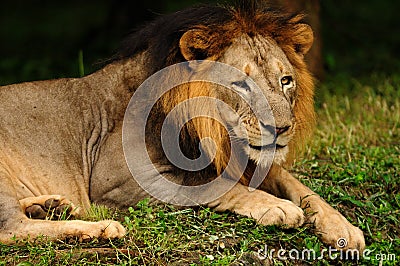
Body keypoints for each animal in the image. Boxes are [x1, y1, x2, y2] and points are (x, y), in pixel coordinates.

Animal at [0, 0, 366, 250]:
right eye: (241, 84)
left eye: (285, 80)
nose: (282, 129)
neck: (213, 133)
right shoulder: (115, 183)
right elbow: (214, 185)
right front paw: (277, 207)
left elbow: (299, 186)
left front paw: (343, 228)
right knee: (11, 229)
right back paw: (100, 229)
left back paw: (51, 206)